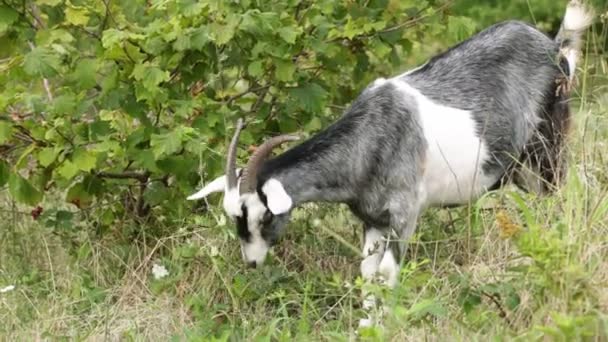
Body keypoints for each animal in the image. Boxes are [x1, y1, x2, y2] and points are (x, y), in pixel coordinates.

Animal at [188, 2, 592, 328]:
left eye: (265, 216)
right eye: (233, 217)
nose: (252, 263)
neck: (370, 140)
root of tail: (555, 46)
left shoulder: (405, 212)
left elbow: (385, 273)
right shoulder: (372, 220)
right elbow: (367, 274)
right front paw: (367, 325)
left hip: (549, 145)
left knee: (562, 193)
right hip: (521, 169)